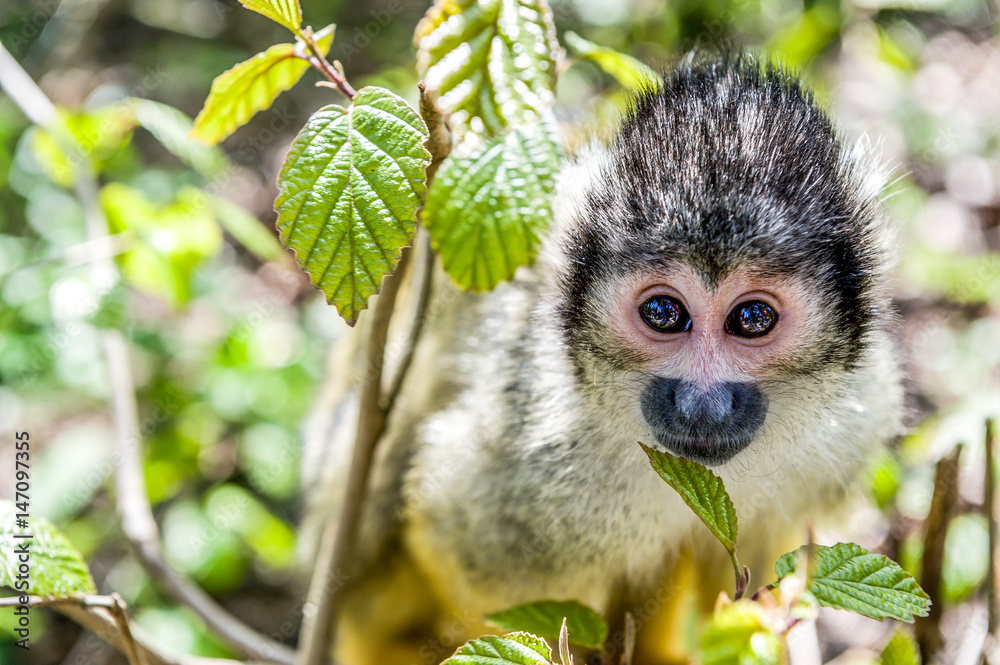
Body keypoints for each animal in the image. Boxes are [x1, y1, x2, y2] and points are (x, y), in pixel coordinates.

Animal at [300, 53, 902, 665]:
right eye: (663, 312)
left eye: (752, 319)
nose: (702, 405)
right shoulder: (541, 448)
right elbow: (466, 545)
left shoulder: (856, 419)